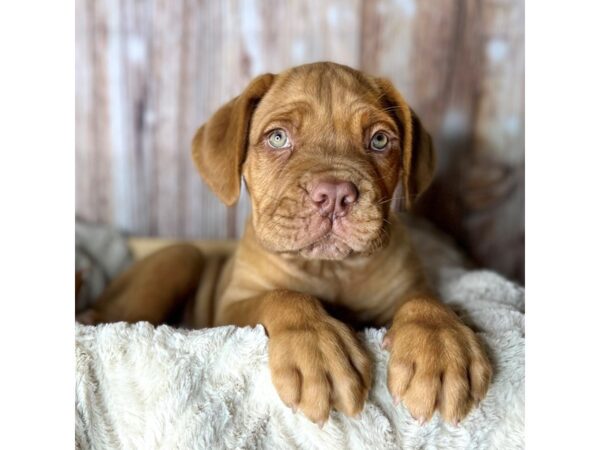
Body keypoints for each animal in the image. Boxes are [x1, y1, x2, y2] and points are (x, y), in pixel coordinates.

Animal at [79, 62, 492, 426]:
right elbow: (283, 296)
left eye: (379, 140)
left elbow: (427, 300)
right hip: (181, 257)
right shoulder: (229, 311)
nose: (335, 194)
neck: (329, 268)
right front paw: (318, 347)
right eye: (278, 137)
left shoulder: (408, 286)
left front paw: (439, 344)